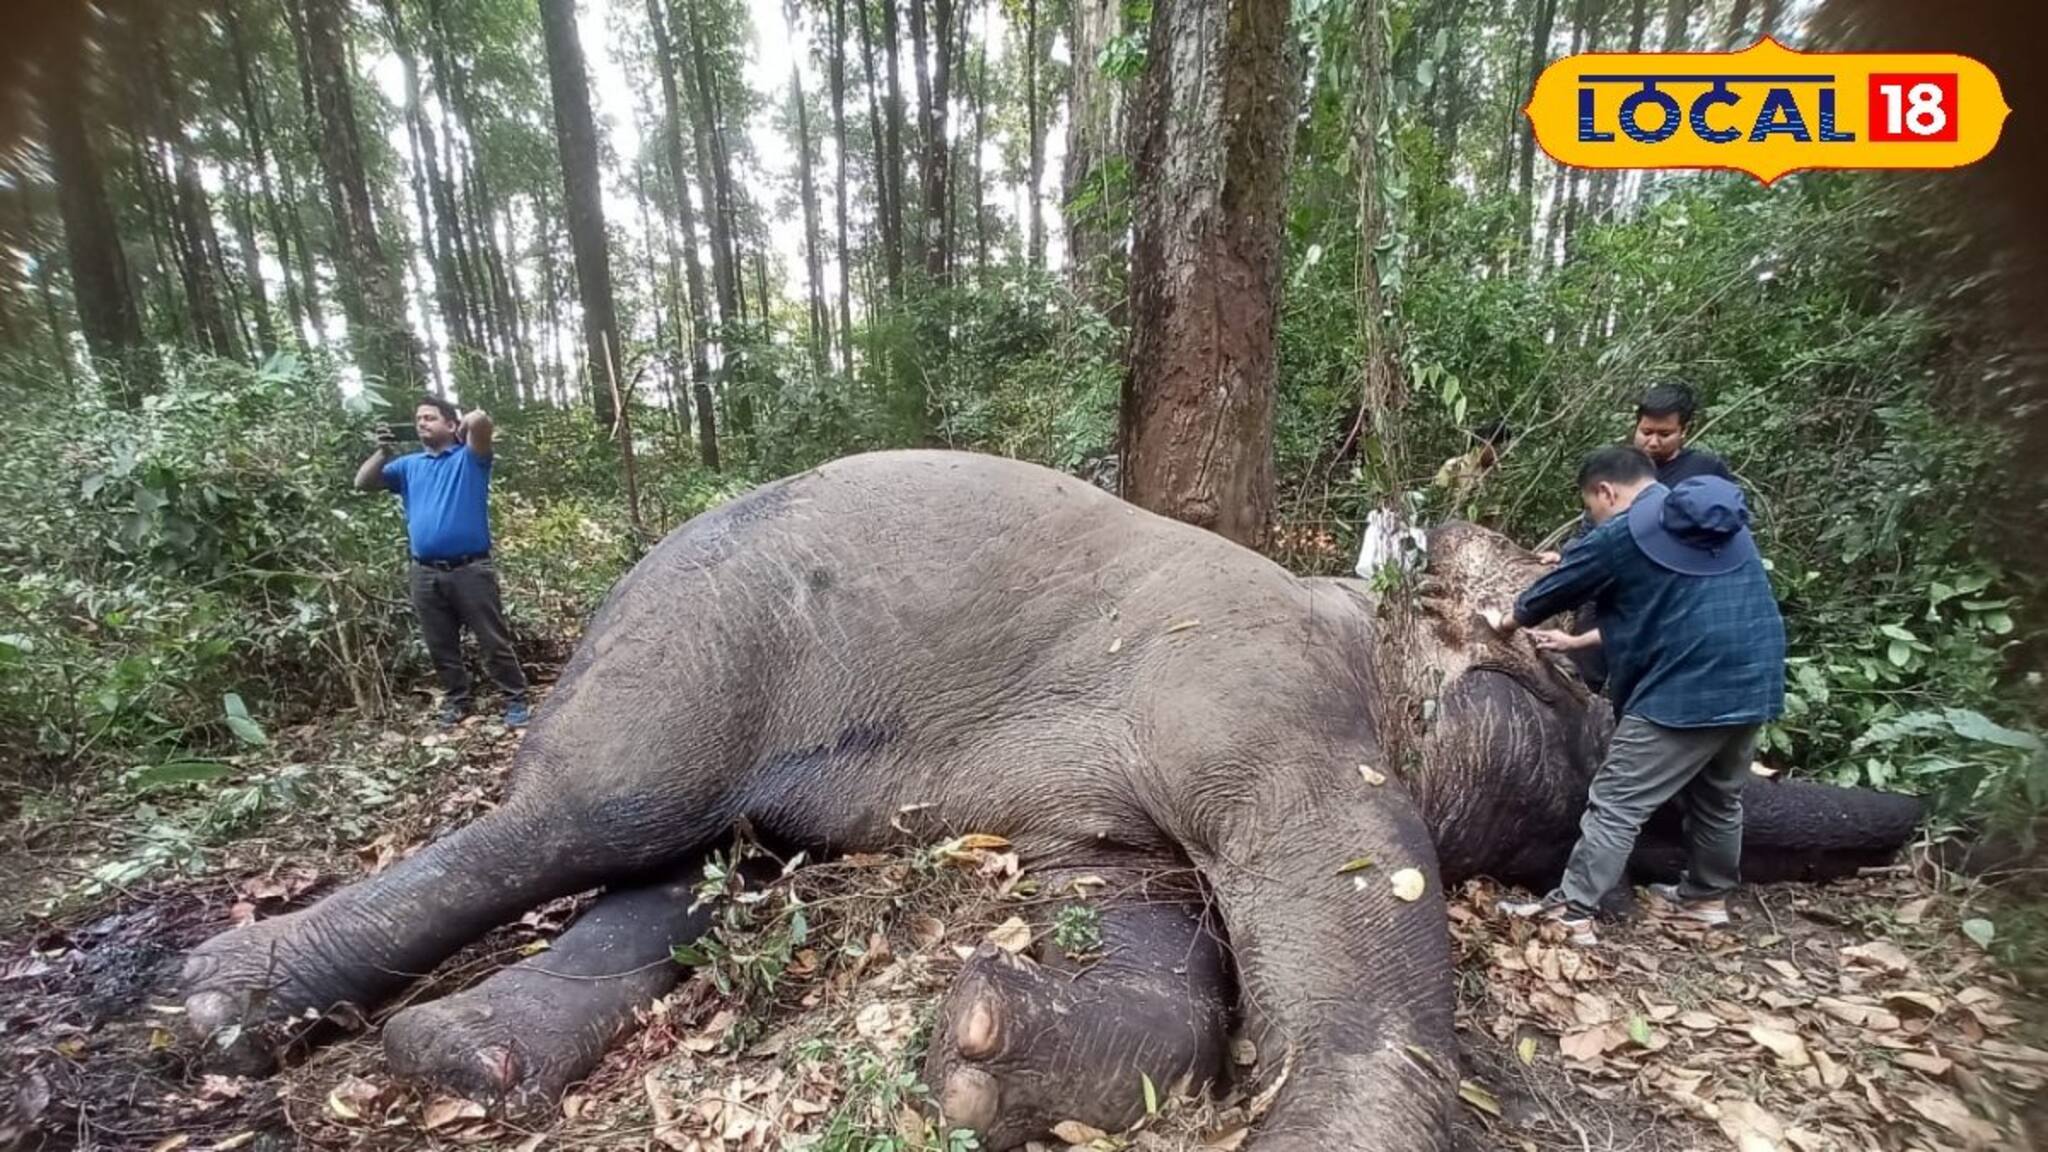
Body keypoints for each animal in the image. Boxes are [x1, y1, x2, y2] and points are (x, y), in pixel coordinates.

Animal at [178, 450, 1923, 1151]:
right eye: (1593, 695)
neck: (1367, 620)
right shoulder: (1261, 697)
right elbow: (1350, 899)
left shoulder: (1120, 808)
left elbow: (1151, 942)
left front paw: (977, 1047)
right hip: (691, 654)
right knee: (594, 820)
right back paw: (216, 1012)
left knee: (689, 866)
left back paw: (458, 1063)